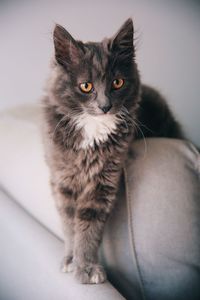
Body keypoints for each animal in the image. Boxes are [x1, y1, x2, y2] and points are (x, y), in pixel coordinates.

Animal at [41, 18, 184, 284]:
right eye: (86, 86)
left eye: (117, 83)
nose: (105, 106)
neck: (92, 128)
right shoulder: (63, 180)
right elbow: (70, 225)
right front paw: (72, 260)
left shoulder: (102, 183)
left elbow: (89, 227)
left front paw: (86, 266)